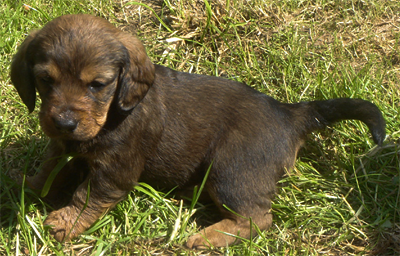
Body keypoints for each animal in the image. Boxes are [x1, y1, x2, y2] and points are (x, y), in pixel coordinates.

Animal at [10, 13, 384, 248]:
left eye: (97, 84)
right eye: (45, 80)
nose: (64, 122)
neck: (114, 110)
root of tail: (290, 113)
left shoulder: (115, 169)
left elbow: (85, 195)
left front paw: (64, 221)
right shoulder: (61, 146)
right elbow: (49, 169)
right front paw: (25, 188)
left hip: (232, 171)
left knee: (257, 219)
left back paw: (206, 238)